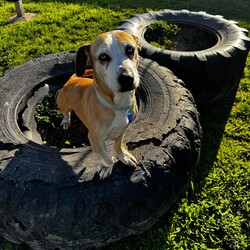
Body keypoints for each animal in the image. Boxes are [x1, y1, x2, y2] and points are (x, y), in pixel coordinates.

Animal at [56, 30, 141, 179]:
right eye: (103, 57)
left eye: (130, 49)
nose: (126, 78)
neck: (117, 106)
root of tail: (73, 78)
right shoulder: (94, 140)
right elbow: (107, 156)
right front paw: (107, 166)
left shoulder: (122, 130)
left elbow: (117, 145)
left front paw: (123, 156)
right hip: (62, 103)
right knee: (66, 113)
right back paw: (66, 121)